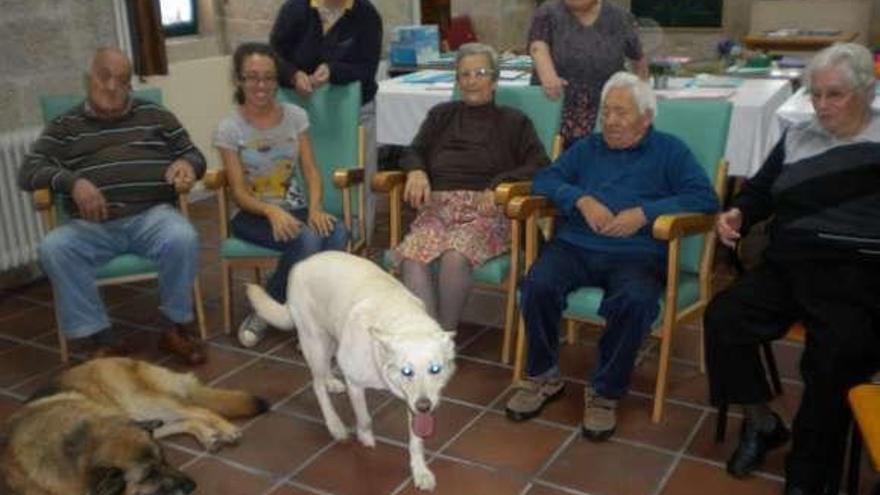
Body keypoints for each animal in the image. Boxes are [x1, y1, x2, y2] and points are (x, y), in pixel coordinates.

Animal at [0, 358, 268, 494]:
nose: (192, 487)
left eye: (165, 460)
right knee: (188, 420)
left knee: (199, 410)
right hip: (144, 419)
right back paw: (209, 436)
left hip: (142, 403)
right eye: (150, 474)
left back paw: (226, 430)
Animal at [244, 252, 458, 492]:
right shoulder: (355, 384)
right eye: (406, 371)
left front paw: (420, 472)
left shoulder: (413, 404)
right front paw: (365, 438)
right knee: (316, 385)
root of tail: (301, 263)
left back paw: (331, 382)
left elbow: (416, 441)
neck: (402, 321)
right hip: (314, 342)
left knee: (325, 371)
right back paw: (335, 425)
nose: (425, 406)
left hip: (331, 337)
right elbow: (364, 418)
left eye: (435, 369)